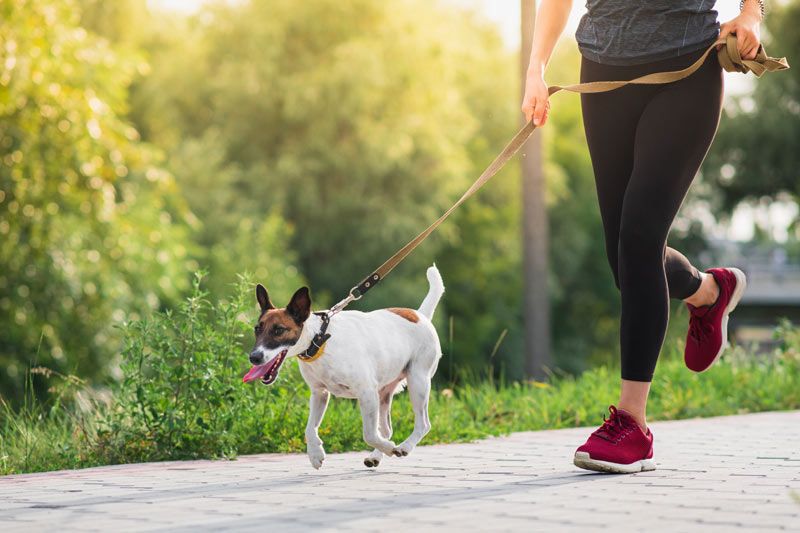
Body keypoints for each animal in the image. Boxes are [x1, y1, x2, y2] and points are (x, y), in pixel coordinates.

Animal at [244, 264, 444, 466]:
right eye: (257, 329)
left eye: (279, 330)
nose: (254, 357)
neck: (319, 340)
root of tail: (421, 315)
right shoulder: (319, 393)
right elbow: (309, 429)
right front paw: (315, 453)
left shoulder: (366, 392)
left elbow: (369, 434)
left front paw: (389, 448)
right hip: (384, 393)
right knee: (386, 429)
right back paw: (376, 456)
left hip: (418, 381)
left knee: (423, 424)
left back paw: (403, 447)